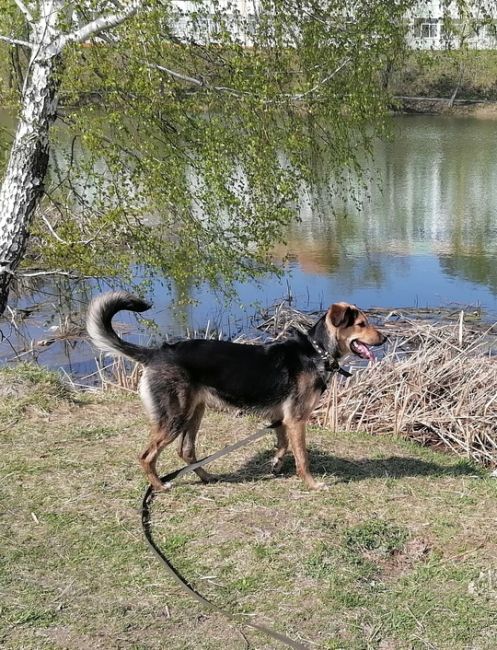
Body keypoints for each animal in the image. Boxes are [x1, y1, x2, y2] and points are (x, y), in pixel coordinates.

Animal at [87, 292, 386, 488]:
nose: (385, 338)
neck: (317, 352)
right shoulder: (296, 419)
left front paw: (276, 464)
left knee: (186, 451)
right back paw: (160, 486)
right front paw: (311, 484)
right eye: (361, 324)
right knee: (146, 456)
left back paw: (207, 477)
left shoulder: (281, 418)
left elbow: (283, 444)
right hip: (174, 417)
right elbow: (303, 457)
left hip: (195, 412)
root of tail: (156, 353)